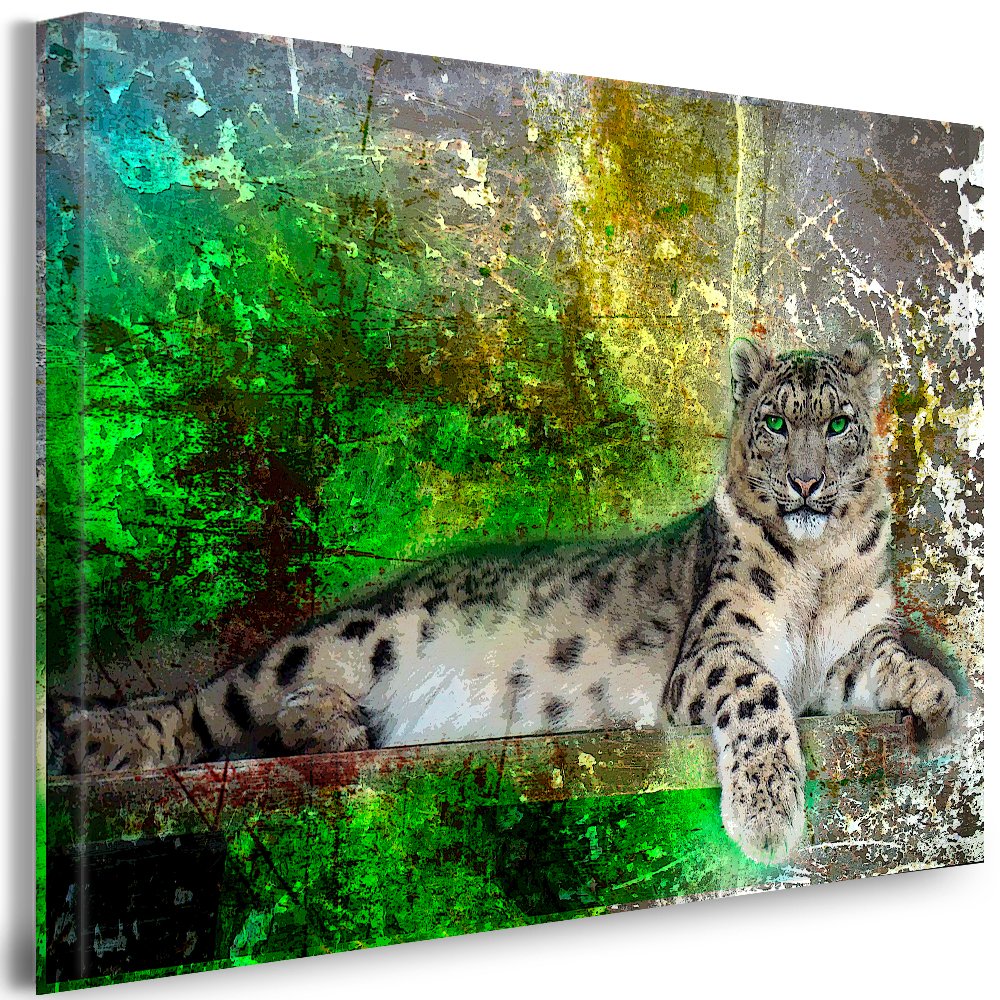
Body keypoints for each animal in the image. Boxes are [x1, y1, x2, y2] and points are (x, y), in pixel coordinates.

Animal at [51, 337, 957, 863]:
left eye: (837, 425)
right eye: (774, 422)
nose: (805, 482)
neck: (819, 569)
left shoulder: (840, 656)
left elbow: (879, 658)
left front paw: (937, 694)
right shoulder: (717, 649)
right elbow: (761, 694)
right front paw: (768, 816)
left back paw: (340, 725)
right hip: (346, 636)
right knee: (214, 702)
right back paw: (99, 739)